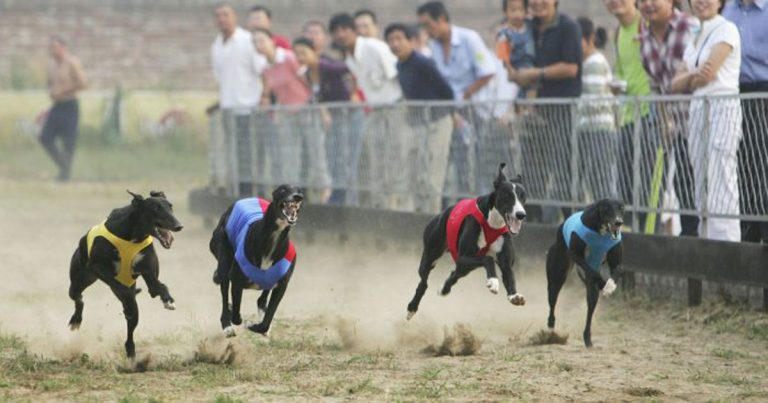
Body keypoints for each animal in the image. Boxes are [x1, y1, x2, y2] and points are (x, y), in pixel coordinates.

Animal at [544, 198, 624, 348]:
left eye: (621, 208)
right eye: (607, 208)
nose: (618, 222)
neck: (601, 233)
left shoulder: (616, 262)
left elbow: (615, 272)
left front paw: (609, 287)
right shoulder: (575, 254)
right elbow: (594, 273)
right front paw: (603, 283)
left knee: (591, 304)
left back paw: (587, 338)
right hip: (557, 274)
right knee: (553, 300)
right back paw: (551, 327)